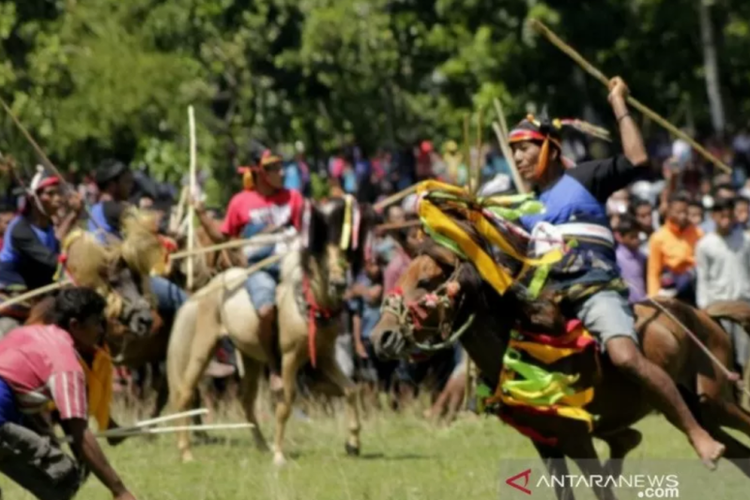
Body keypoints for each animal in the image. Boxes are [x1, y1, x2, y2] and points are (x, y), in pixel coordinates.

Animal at [167, 198, 374, 464]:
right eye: (321, 257)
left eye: (345, 255)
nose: (338, 284)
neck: (307, 306)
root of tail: (205, 290)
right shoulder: (289, 358)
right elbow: (286, 401)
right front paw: (279, 455)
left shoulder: (325, 356)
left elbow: (350, 390)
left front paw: (353, 443)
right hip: (203, 347)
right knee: (185, 392)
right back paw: (186, 452)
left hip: (250, 357)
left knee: (245, 400)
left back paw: (261, 445)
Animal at [368, 212, 750, 500]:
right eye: (402, 274)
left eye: (426, 281)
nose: (380, 336)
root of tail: (704, 315)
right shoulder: (546, 442)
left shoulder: (577, 438)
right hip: (700, 412)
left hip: (715, 400)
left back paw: (706, 449)